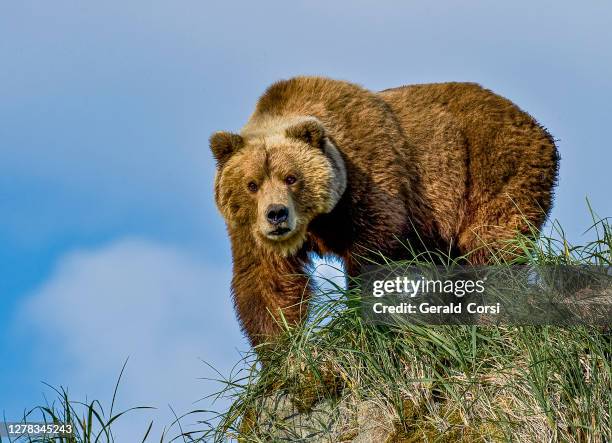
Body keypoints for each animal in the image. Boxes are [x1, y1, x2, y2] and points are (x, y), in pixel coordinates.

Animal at [210, 75, 560, 346]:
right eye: (252, 184)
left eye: (291, 177)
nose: (277, 214)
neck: (319, 220)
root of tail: (535, 124)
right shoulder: (249, 231)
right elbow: (266, 283)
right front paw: (278, 349)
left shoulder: (371, 179)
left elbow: (374, 253)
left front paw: (360, 317)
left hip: (493, 169)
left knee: (491, 247)